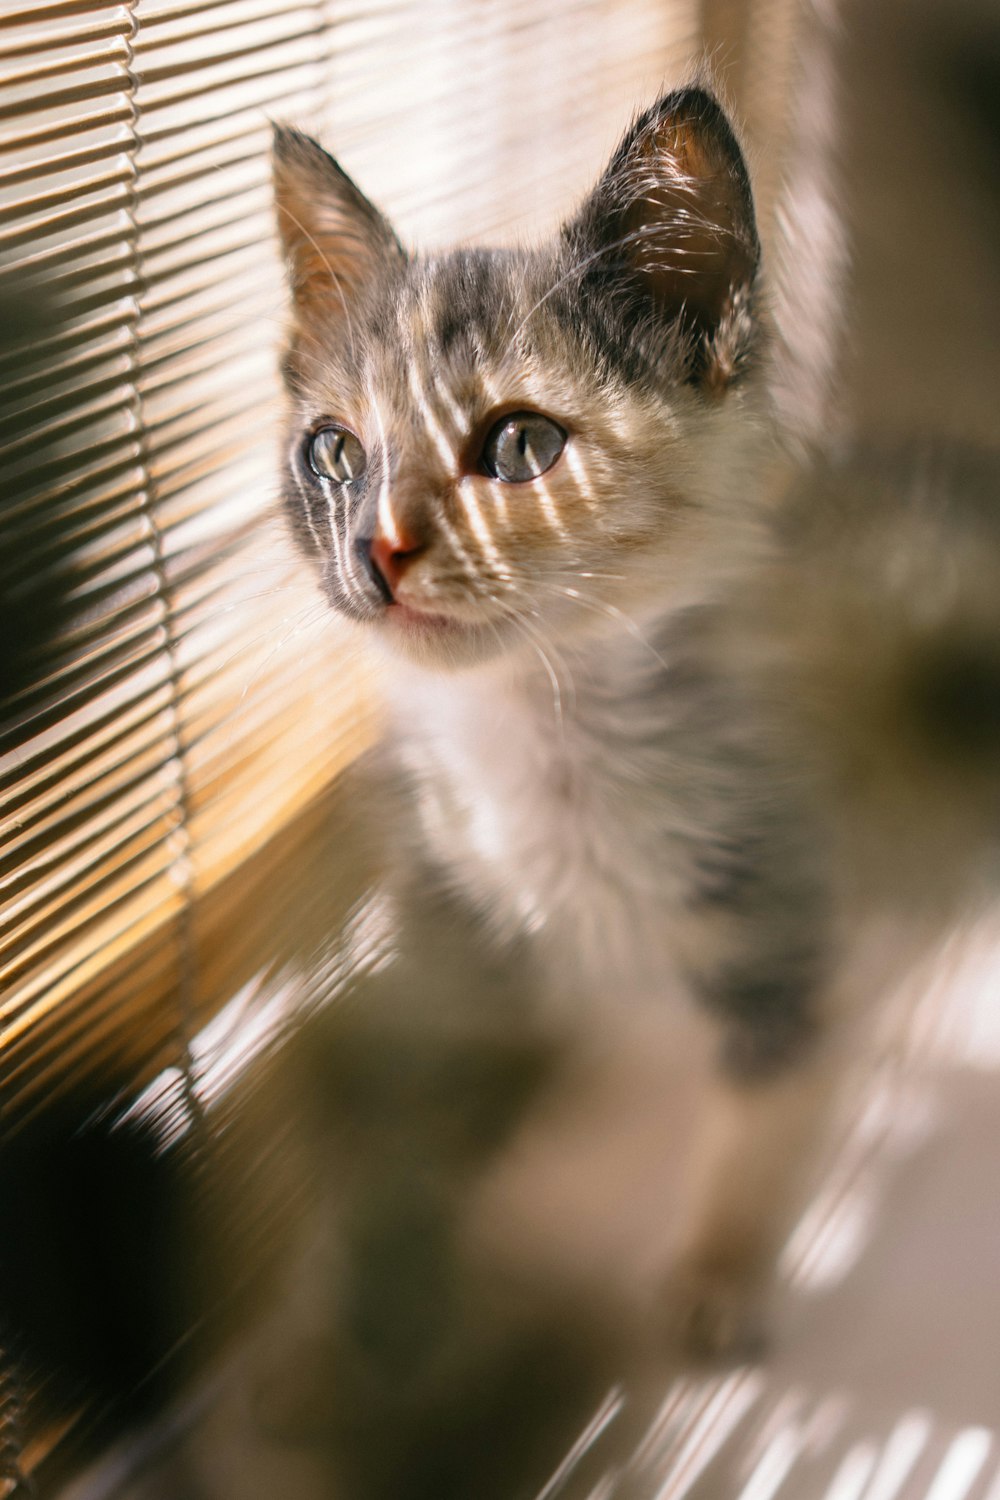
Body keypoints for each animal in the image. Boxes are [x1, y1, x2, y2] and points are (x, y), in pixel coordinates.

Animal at [269, 93, 1000, 1362]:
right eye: (333, 453)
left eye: (519, 446)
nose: (375, 551)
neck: (541, 741)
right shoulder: (464, 927)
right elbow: (441, 1094)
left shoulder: (790, 923)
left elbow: (766, 1112)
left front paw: (719, 1275)